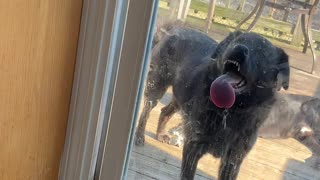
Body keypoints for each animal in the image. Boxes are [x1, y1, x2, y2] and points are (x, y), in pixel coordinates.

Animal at [134, 25, 288, 180]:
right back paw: (139, 136)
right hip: (157, 86)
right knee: (146, 110)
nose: (238, 48)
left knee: (164, 111)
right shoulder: (193, 146)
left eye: (262, 52)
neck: (231, 111)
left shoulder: (232, 160)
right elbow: (187, 175)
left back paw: (160, 133)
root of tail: (176, 30)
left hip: (181, 98)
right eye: (236, 41)